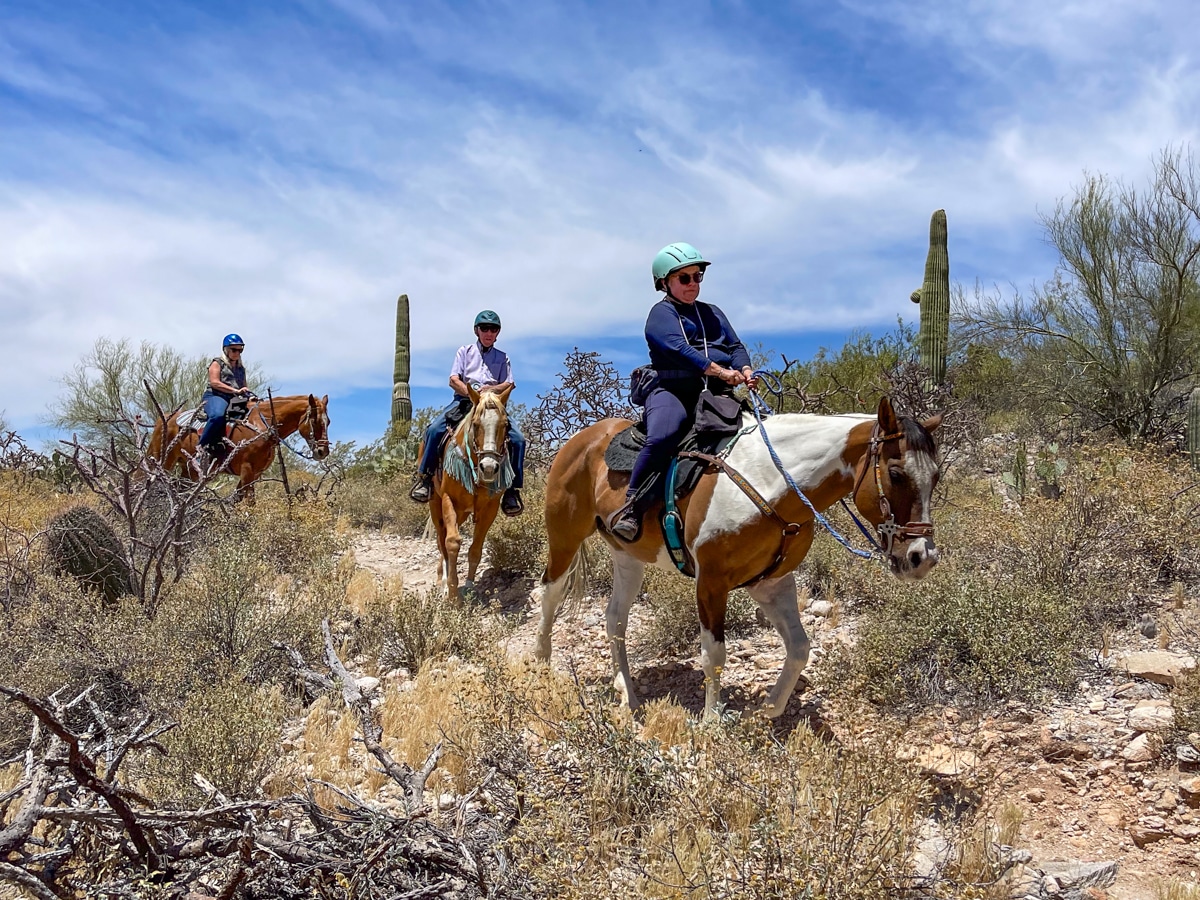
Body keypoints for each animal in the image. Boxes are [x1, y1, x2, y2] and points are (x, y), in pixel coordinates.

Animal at [147, 396, 331, 508]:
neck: (263, 425)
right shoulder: (247, 469)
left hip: (188, 470)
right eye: (314, 420)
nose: (323, 451)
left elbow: (237, 500)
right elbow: (250, 503)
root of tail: (164, 418)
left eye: (328, 421)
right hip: (163, 462)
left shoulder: (255, 474)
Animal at [424, 386, 513, 607]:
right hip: (436, 506)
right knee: (441, 541)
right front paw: (452, 594)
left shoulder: (490, 508)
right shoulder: (449, 500)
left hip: (462, 513)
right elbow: (452, 542)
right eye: (476, 424)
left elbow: (475, 549)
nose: (488, 468)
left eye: (505, 425)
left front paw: (470, 588)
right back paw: (441, 582)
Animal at [532, 398, 936, 724]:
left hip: (627, 556)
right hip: (564, 537)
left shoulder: (772, 582)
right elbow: (714, 654)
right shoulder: (711, 582)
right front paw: (712, 724)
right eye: (896, 473)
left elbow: (799, 649)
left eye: (935, 476)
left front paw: (766, 710)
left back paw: (627, 694)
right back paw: (541, 665)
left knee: (615, 616)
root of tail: (582, 439)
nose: (922, 558)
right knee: (549, 594)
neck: (771, 482)